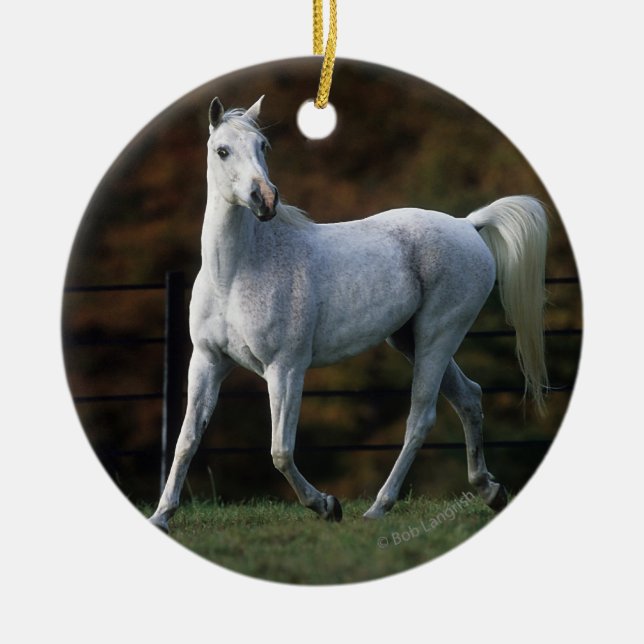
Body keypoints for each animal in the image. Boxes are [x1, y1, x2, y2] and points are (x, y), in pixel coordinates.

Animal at [149, 96, 549, 531]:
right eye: (222, 150)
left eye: (263, 146)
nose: (265, 200)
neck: (236, 273)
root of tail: (467, 224)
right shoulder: (207, 362)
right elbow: (187, 440)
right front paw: (161, 516)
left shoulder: (286, 369)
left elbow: (280, 451)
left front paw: (327, 505)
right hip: (410, 340)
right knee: (469, 397)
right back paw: (490, 491)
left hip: (438, 336)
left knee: (420, 418)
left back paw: (379, 507)